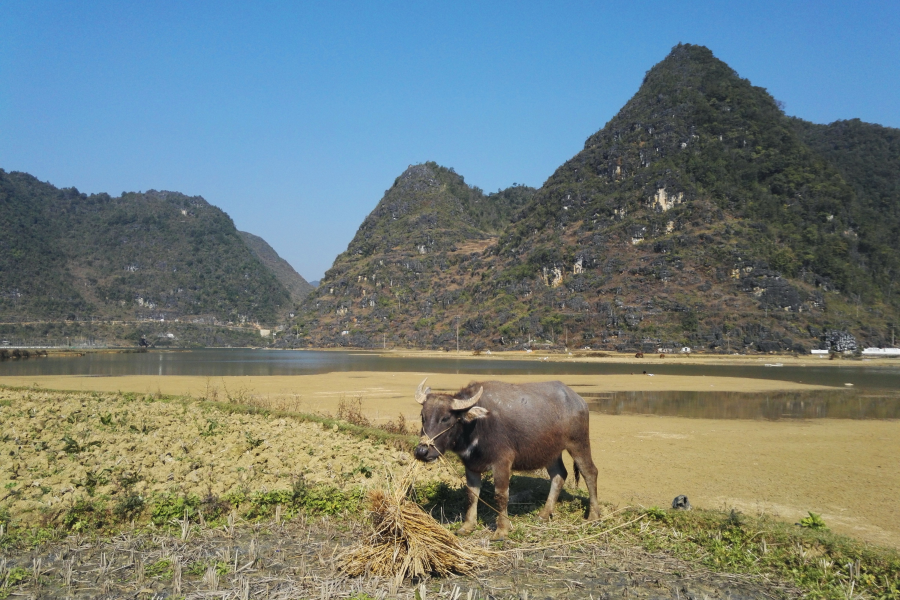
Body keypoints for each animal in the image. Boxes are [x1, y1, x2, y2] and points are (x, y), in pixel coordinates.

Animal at [416, 382, 600, 540]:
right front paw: (467, 526)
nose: (422, 451)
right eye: (423, 416)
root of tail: (579, 401)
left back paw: (593, 516)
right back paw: (544, 514)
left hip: (579, 442)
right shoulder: (471, 465)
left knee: (590, 472)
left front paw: (501, 530)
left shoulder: (502, 463)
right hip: (551, 452)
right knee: (559, 475)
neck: (477, 426)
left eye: (446, 418)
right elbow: (471, 495)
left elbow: (501, 495)